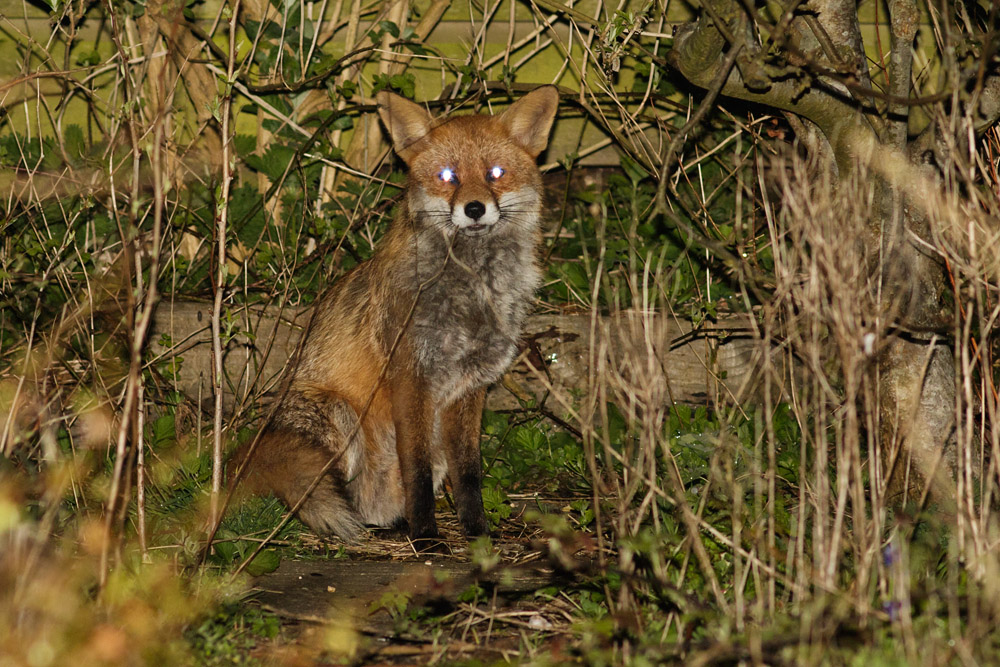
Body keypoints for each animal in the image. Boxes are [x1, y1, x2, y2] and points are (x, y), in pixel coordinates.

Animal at [231, 86, 559, 546]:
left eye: (495, 172)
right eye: (447, 175)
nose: (475, 209)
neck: (471, 294)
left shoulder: (469, 389)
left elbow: (469, 474)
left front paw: (477, 533)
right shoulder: (410, 376)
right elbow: (415, 470)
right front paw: (427, 538)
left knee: (376, 504)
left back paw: (390, 525)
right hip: (341, 419)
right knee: (324, 492)